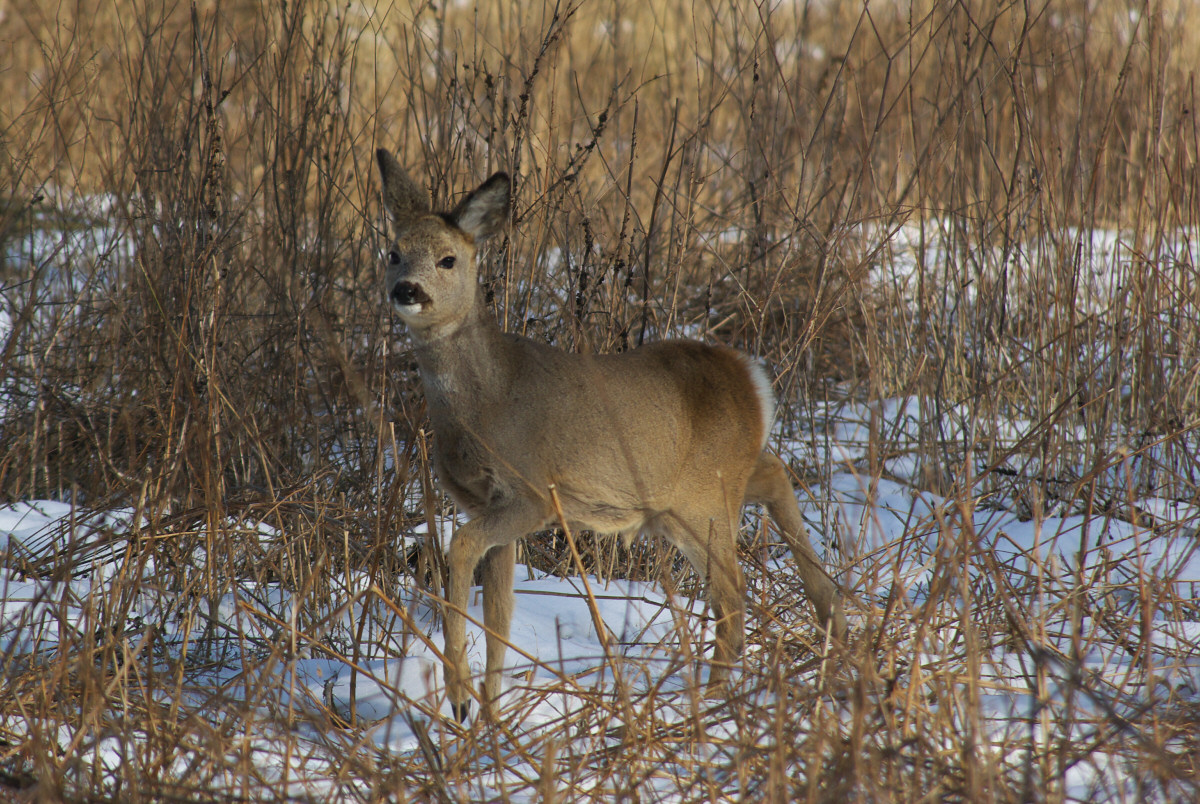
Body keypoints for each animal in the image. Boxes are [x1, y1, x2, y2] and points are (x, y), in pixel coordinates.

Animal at [374, 151, 844, 724]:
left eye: (447, 260)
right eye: (394, 253)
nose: (406, 290)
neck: (488, 400)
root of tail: (751, 379)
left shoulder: (533, 492)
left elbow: (462, 551)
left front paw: (461, 696)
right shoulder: (483, 503)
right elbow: (501, 612)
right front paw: (488, 715)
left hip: (703, 503)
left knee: (733, 596)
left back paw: (713, 701)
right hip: (703, 490)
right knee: (776, 479)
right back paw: (835, 623)